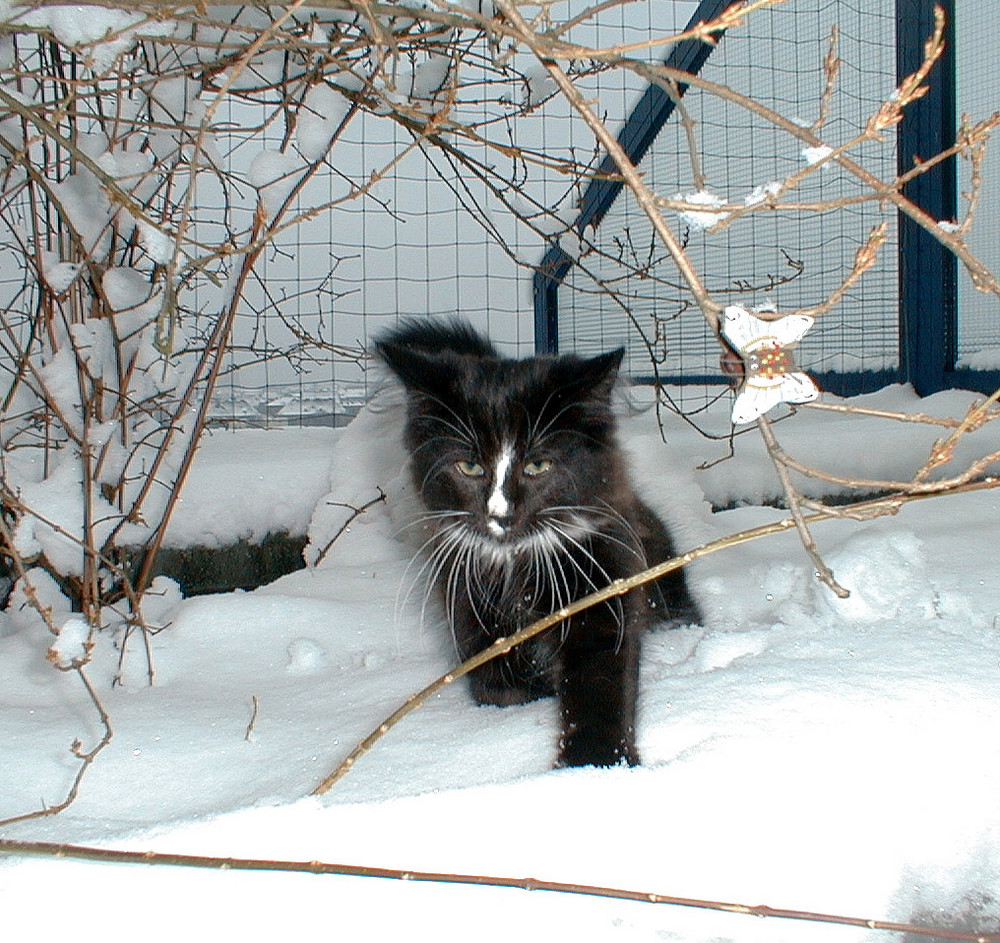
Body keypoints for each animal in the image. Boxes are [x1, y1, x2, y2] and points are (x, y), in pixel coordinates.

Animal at [376, 320, 704, 772]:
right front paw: (534, 692)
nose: (500, 514)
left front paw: (597, 763)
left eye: (537, 465)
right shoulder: (465, 595)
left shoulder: (602, 581)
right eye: (469, 466)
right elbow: (494, 684)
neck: (517, 565)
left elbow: (601, 680)